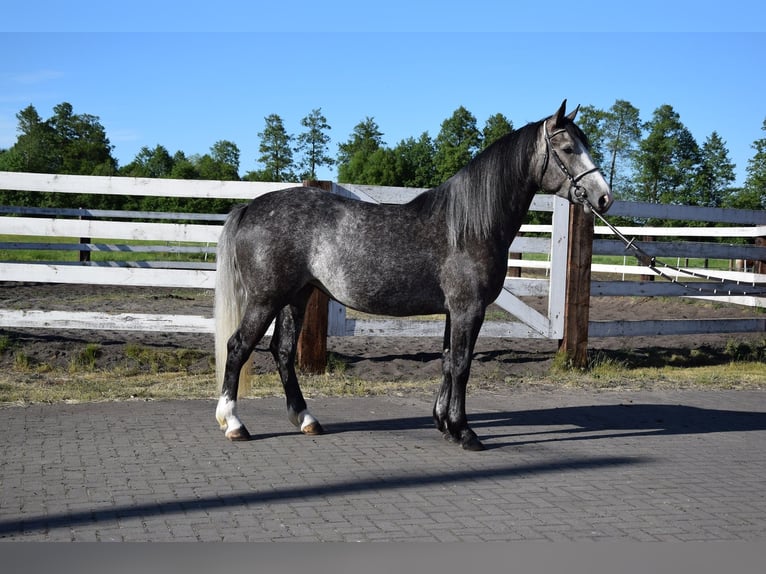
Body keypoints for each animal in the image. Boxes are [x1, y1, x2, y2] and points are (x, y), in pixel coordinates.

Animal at [214, 100, 612, 451]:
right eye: (567, 148)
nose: (604, 198)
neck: (467, 227)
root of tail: (250, 207)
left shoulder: (455, 311)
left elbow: (448, 361)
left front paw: (445, 424)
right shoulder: (469, 309)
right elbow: (462, 365)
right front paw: (464, 432)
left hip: (296, 296)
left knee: (281, 352)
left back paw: (306, 419)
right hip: (266, 299)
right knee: (238, 347)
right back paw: (233, 423)